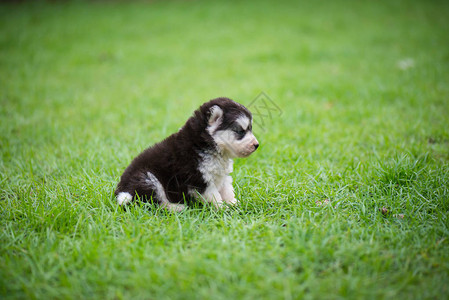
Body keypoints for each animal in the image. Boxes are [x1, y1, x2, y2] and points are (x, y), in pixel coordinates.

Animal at [114, 97, 258, 212]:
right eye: (240, 131)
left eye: (250, 128)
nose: (256, 145)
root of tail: (120, 191)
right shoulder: (200, 181)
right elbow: (215, 196)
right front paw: (223, 209)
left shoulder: (223, 176)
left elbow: (228, 191)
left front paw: (234, 204)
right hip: (147, 179)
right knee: (156, 204)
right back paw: (177, 207)